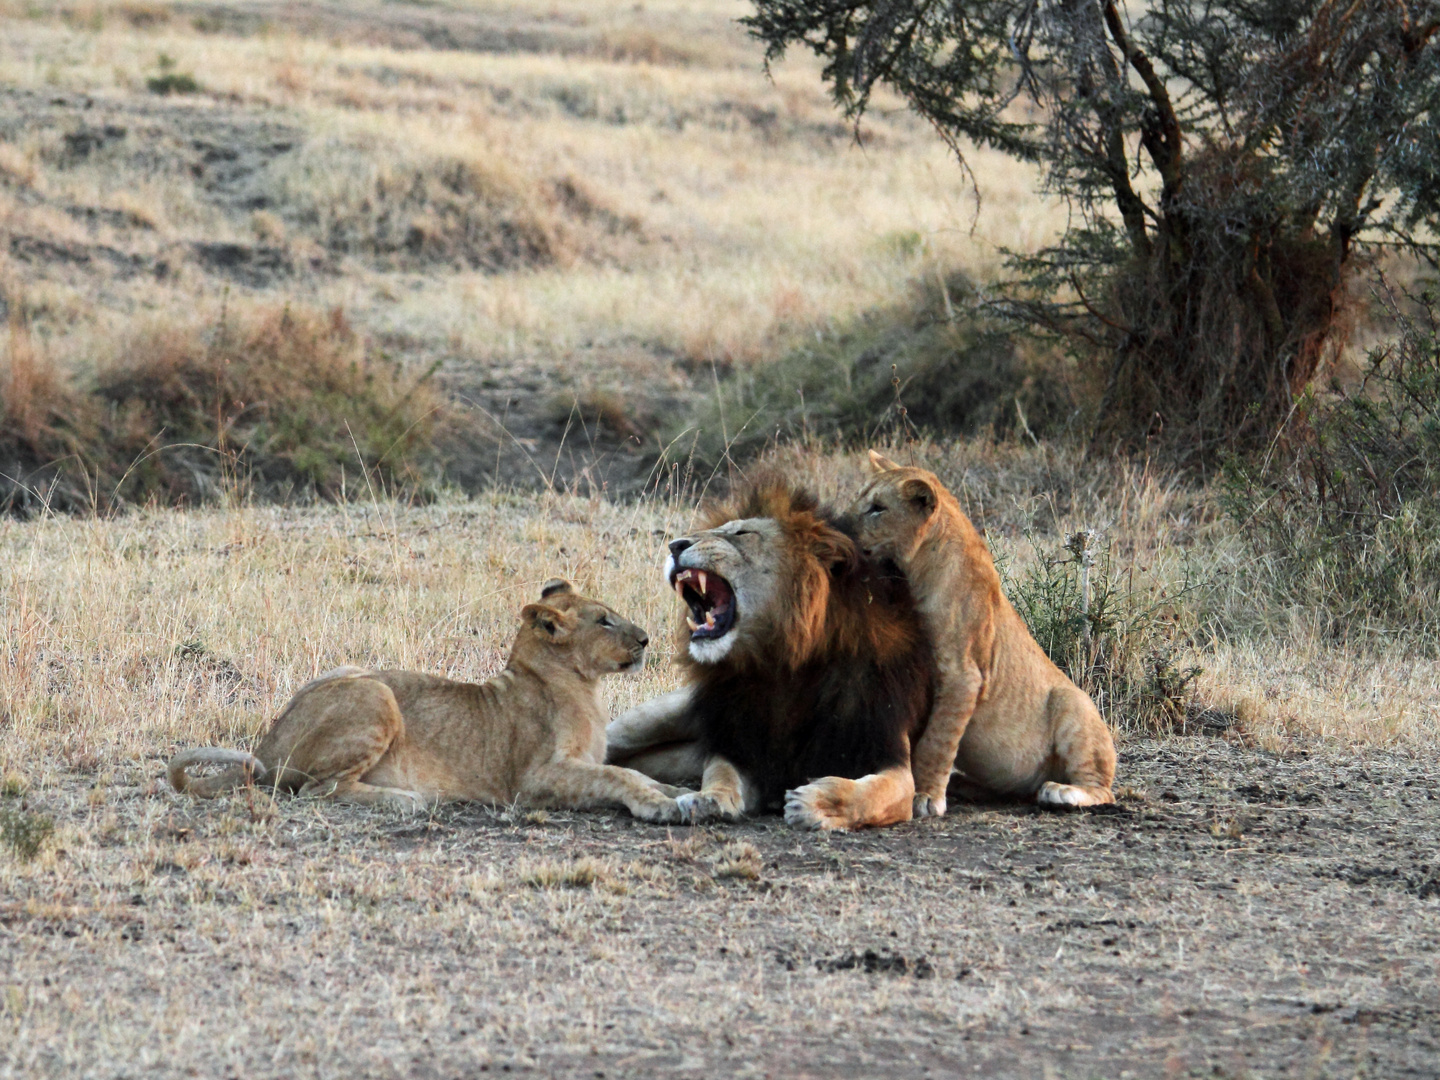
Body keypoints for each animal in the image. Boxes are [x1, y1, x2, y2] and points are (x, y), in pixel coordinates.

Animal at [168, 584, 685, 817]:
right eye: (603, 620)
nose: (645, 639)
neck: (582, 686)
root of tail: (269, 744)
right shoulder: (530, 781)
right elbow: (617, 775)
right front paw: (658, 805)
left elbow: (635, 772)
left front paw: (678, 793)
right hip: (376, 694)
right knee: (319, 789)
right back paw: (407, 798)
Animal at [604, 480, 933, 829]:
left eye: (742, 533)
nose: (675, 545)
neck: (788, 663)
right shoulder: (741, 743)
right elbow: (721, 773)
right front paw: (708, 799)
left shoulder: (889, 752)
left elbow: (871, 793)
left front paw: (813, 803)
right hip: (652, 718)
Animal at [846, 452, 1117, 817]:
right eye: (859, 498)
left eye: (878, 508)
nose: (841, 524)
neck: (916, 571)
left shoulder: (963, 675)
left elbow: (937, 741)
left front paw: (925, 796)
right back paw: (965, 785)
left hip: (1072, 702)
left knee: (1101, 789)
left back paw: (1061, 792)